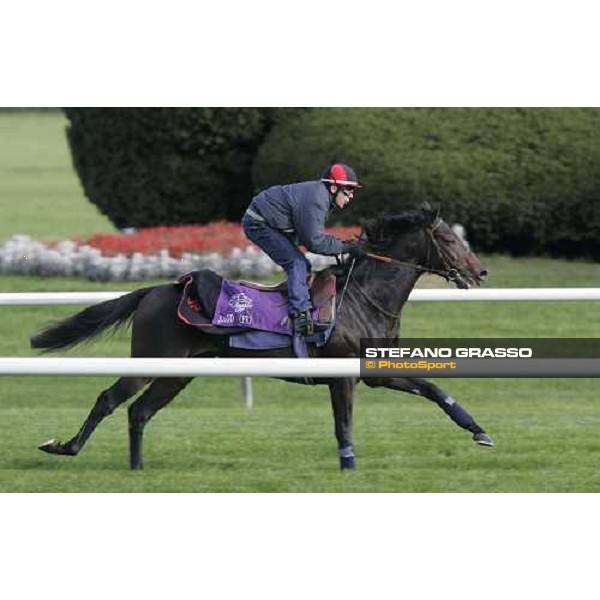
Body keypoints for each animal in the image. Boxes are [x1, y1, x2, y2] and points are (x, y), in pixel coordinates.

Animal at [30, 204, 492, 472]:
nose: (480, 271)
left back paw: (138, 469)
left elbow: (434, 390)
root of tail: (157, 289)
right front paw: (348, 465)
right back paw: (66, 447)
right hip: (151, 360)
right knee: (110, 399)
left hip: (178, 372)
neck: (363, 298)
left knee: (139, 411)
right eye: (449, 238)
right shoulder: (342, 375)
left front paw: (479, 431)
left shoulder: (376, 373)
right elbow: (343, 423)